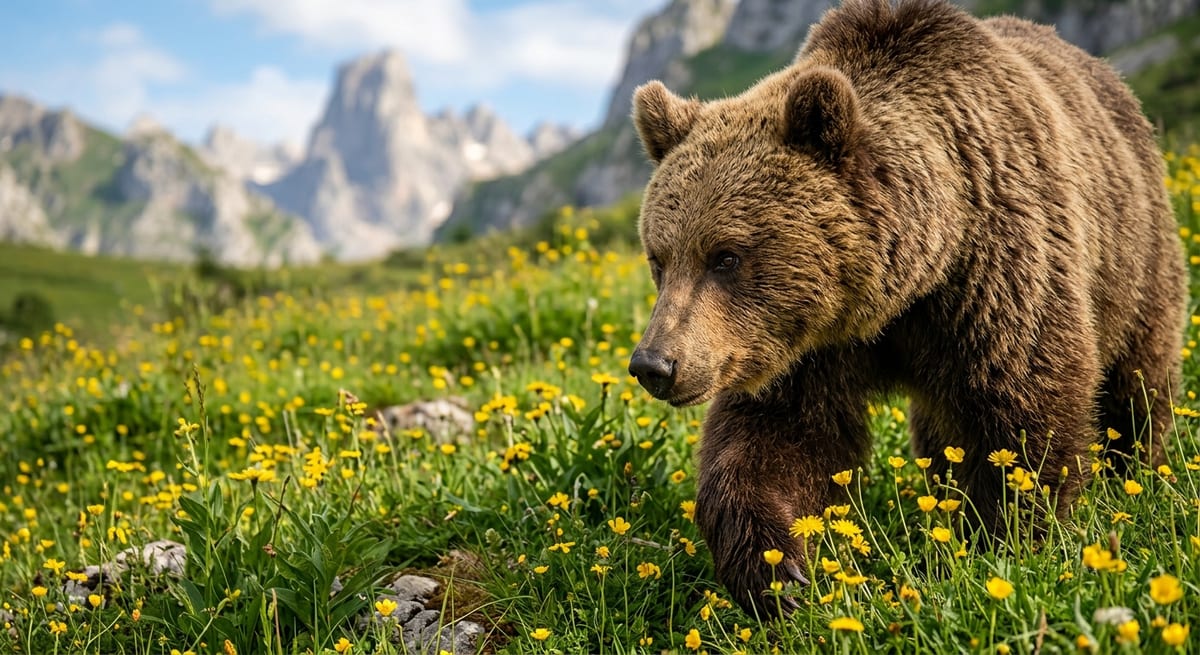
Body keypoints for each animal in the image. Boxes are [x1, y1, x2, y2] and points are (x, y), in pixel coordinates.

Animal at [627, 0, 1186, 616]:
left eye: (725, 256)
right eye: (659, 257)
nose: (654, 364)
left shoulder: (998, 268)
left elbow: (1028, 407)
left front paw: (1002, 545)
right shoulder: (805, 343)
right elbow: (776, 436)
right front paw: (778, 573)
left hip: (1135, 250)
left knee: (1138, 378)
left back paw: (1135, 474)